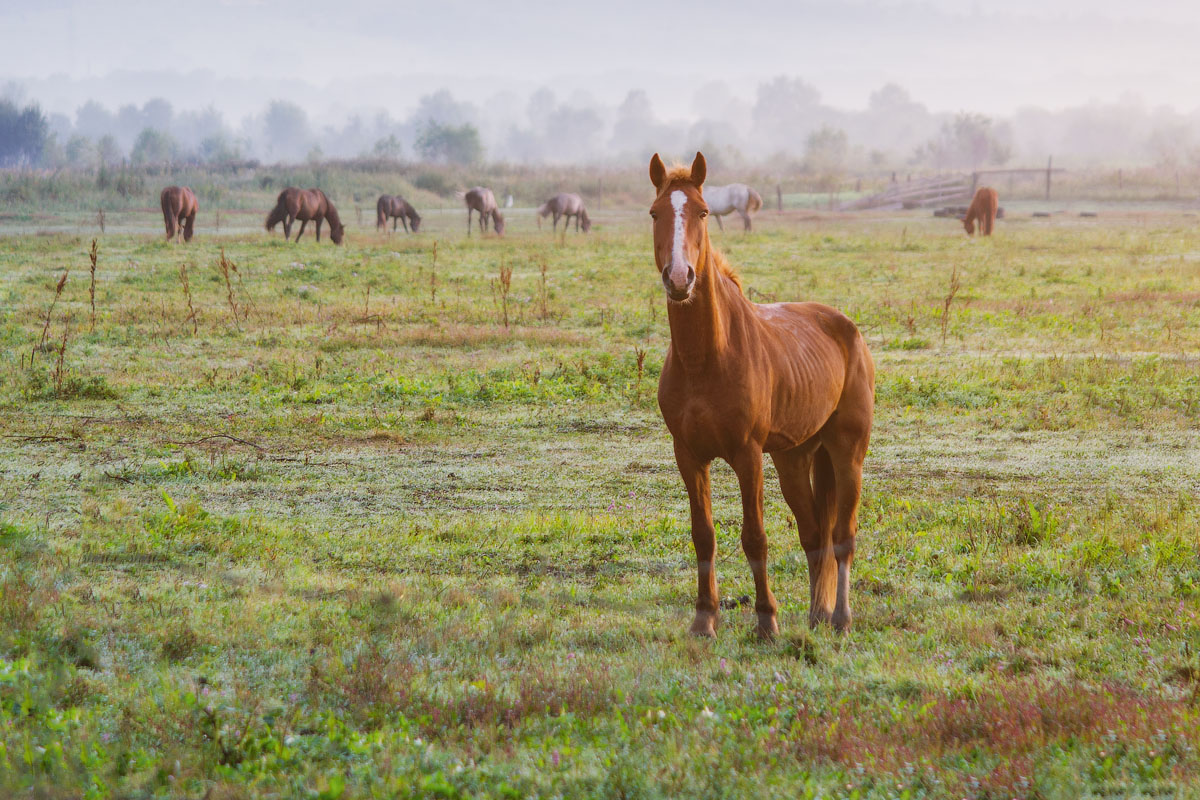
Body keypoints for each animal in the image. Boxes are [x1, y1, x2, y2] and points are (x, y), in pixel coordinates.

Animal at [652, 149, 878, 638]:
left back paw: (840, 618)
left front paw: (766, 622)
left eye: (702, 211)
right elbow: (704, 535)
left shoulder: (747, 454)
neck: (706, 358)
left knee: (843, 536)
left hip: (847, 451)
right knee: (814, 535)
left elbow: (754, 536)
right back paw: (815, 615)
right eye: (655, 213)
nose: (680, 278)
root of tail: (847, 328)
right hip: (795, 457)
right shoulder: (688, 455)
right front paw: (704, 620)